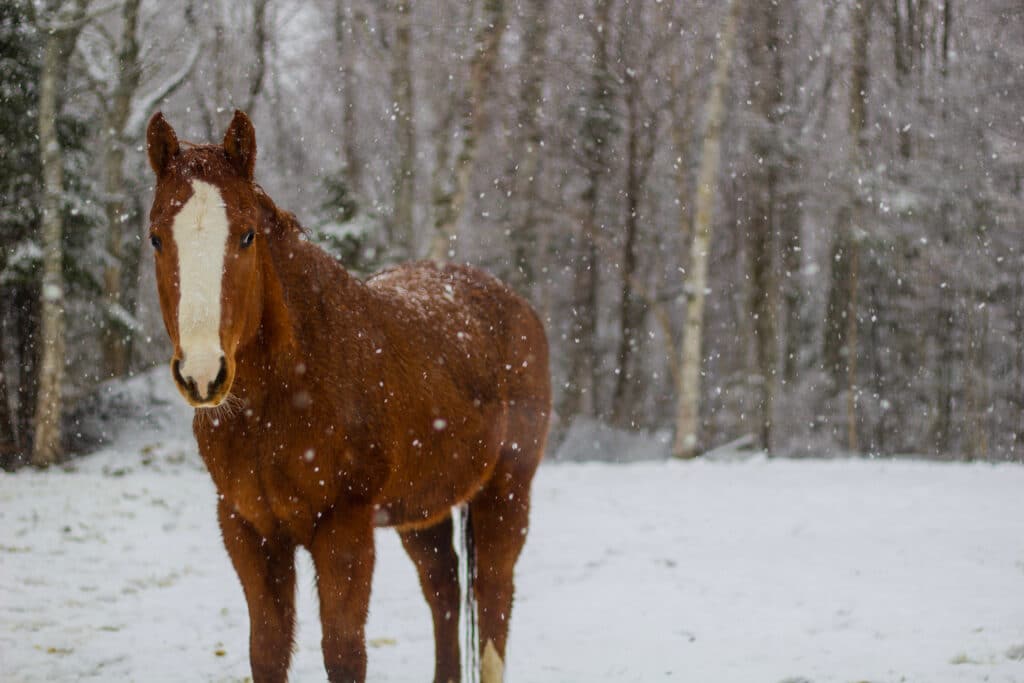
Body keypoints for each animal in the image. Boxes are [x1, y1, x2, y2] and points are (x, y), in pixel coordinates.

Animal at [144, 110, 551, 683]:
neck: (279, 399)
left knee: (492, 600)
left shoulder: (343, 530)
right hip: (422, 510)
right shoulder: (247, 530)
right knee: (444, 589)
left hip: (507, 492)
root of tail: (514, 305)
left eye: (246, 236)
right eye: (157, 239)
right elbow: (267, 650)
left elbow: (343, 652)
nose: (203, 374)